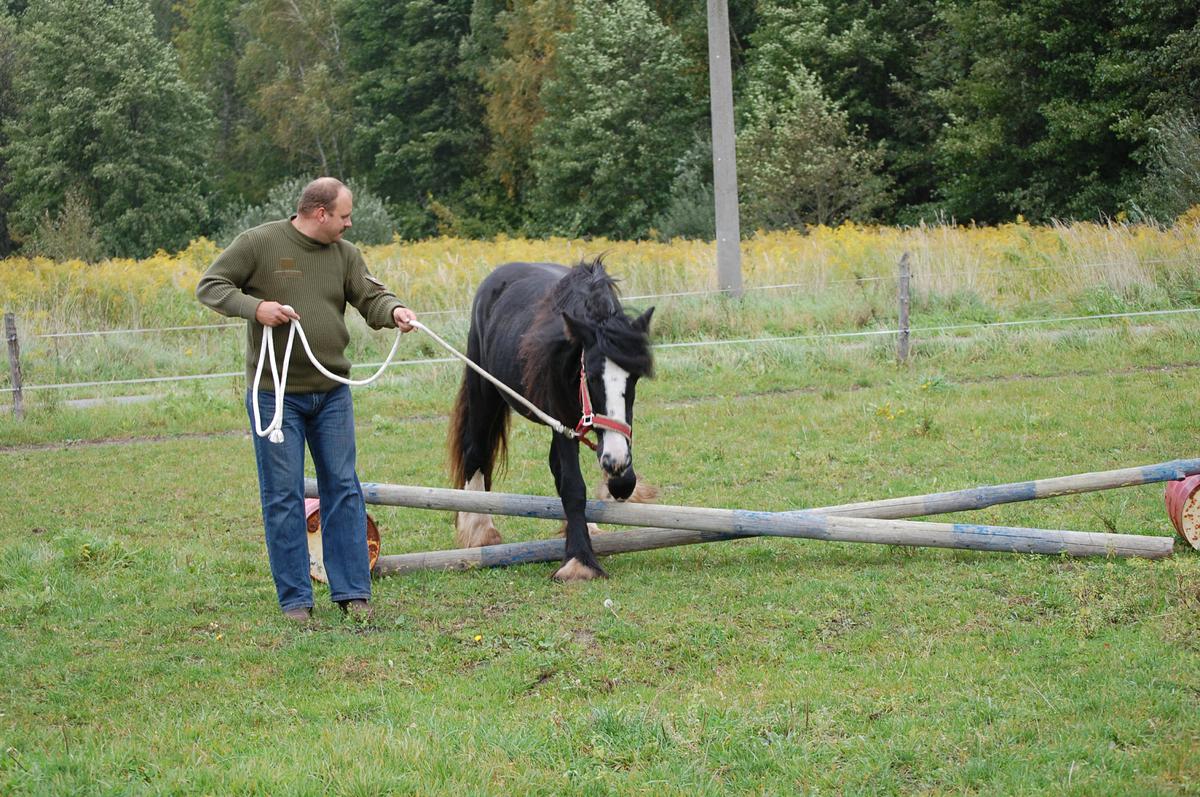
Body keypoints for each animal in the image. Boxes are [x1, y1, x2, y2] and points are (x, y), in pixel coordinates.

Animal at [448, 260, 657, 578]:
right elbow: (573, 485)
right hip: (484, 391)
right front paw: (579, 562)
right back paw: (480, 532)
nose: (615, 461)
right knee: (476, 453)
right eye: (591, 376)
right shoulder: (563, 421)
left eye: (633, 378)